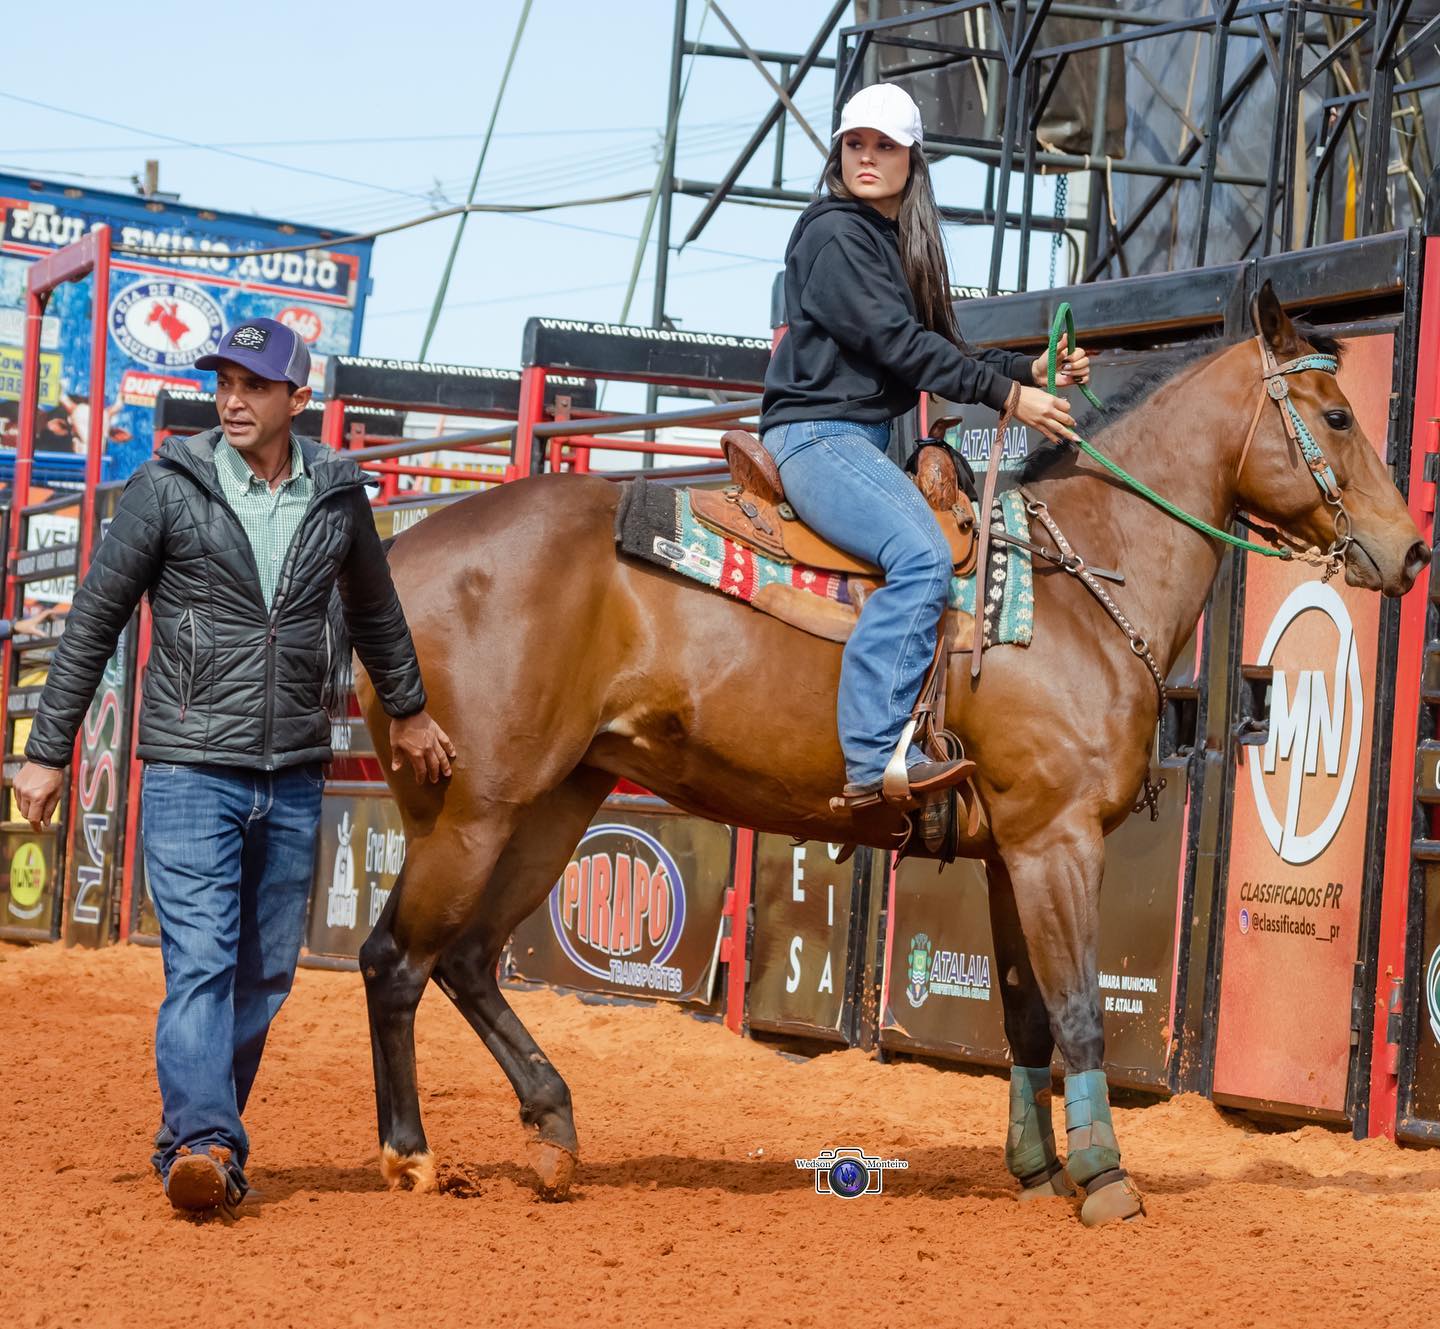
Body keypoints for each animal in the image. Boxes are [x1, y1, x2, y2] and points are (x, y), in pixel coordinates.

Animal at [348, 287, 1428, 1226]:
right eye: (1336, 415)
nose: (1411, 550)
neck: (1078, 583)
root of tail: (402, 553)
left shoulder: (1011, 852)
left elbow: (1026, 1017)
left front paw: (1038, 1170)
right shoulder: (1060, 842)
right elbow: (1081, 1010)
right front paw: (1106, 1180)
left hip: (556, 800)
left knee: (470, 960)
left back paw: (553, 1129)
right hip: (474, 810)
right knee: (397, 958)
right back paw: (411, 1155)